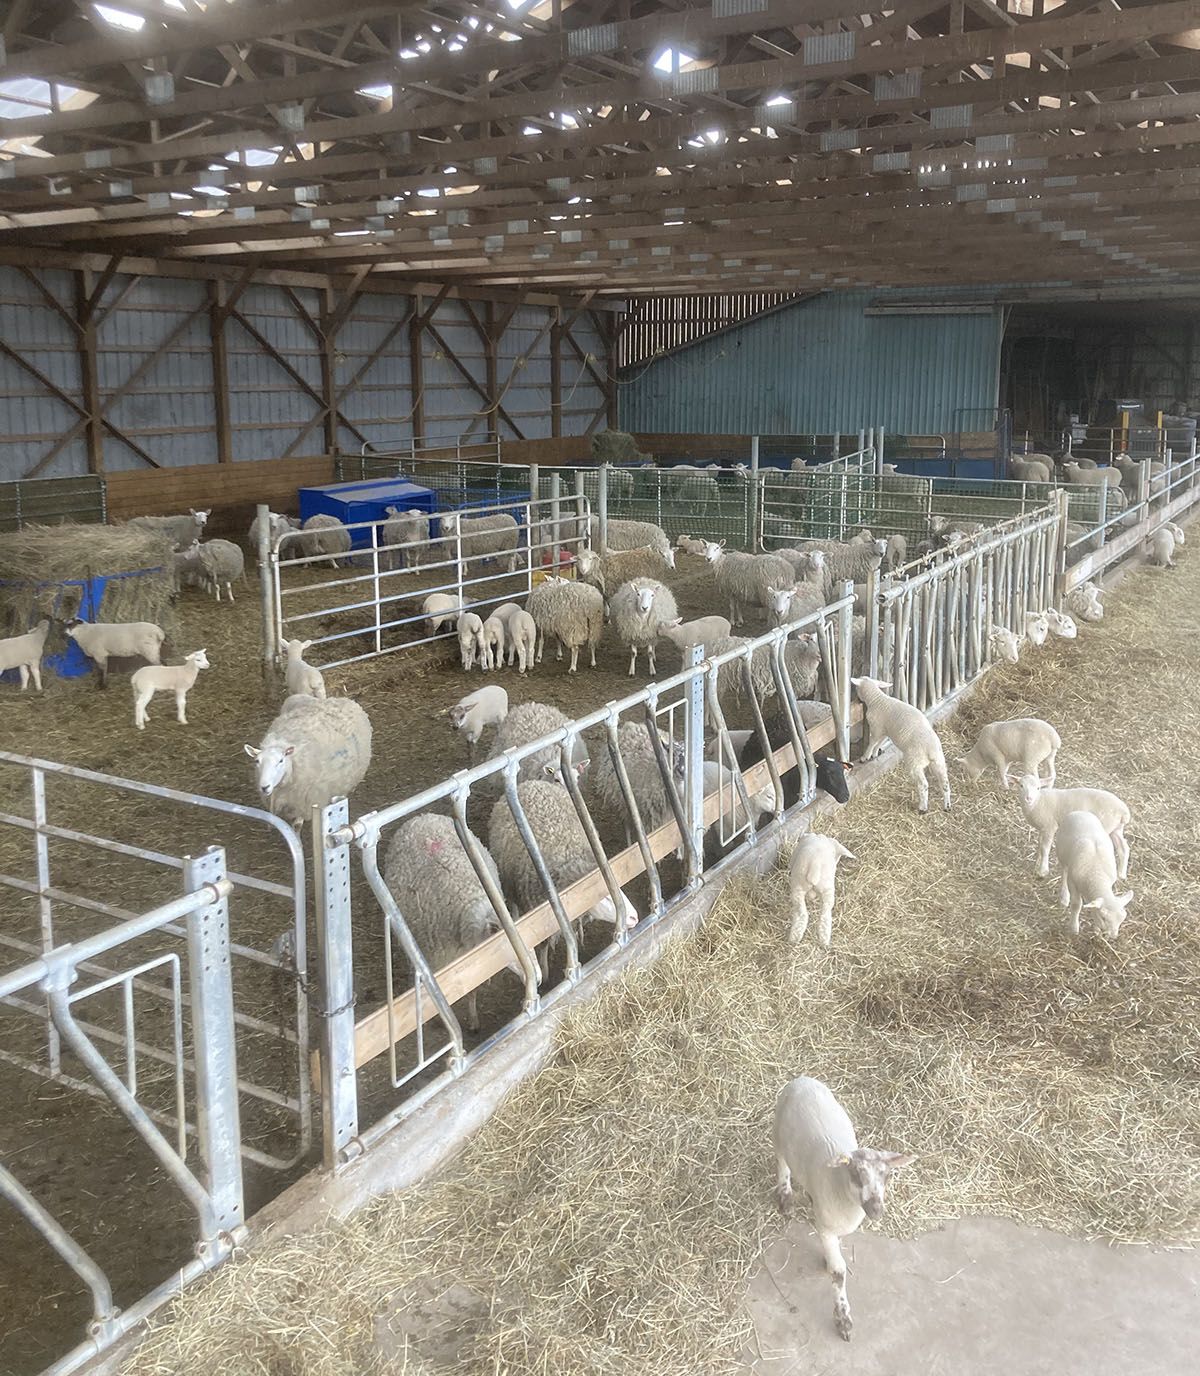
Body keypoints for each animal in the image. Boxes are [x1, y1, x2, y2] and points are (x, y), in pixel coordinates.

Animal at [244, 695, 372, 827]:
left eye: (281, 760)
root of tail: (340, 699)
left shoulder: (306, 803)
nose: (264, 787)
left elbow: (297, 826)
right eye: (257, 761)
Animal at [774, 1076, 914, 1342]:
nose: (876, 1210)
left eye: (887, 1175)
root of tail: (802, 1079)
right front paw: (843, 1320)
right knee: (782, 1161)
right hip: (779, 1134)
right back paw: (785, 1195)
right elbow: (839, 1272)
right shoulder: (827, 1228)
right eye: (856, 1174)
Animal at [851, 676, 951, 814]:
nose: (857, 700)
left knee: (923, 784)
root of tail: (931, 750)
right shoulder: (884, 731)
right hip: (939, 761)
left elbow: (872, 742)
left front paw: (865, 757)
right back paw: (947, 806)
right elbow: (879, 743)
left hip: (915, 761)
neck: (877, 699)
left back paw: (922, 807)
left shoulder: (877, 728)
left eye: (856, 688)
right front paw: (875, 754)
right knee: (945, 783)